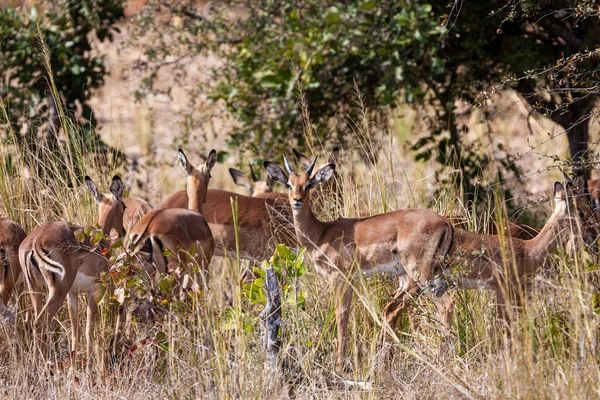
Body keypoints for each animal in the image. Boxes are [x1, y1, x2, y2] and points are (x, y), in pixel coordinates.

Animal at [19, 175, 125, 360]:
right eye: (124, 207)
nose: (124, 231)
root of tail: (36, 241)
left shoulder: (73, 293)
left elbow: (76, 330)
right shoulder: (95, 289)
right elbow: (89, 329)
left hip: (35, 287)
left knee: (35, 321)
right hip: (57, 290)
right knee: (40, 322)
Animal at [264, 156, 454, 372]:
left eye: (309, 184)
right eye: (289, 184)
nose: (297, 200)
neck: (320, 234)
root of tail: (445, 222)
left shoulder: (340, 276)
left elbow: (341, 314)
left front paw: (340, 364)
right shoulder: (351, 279)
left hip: (420, 275)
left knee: (445, 304)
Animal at [382, 175, 596, 334]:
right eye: (582, 212)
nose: (593, 233)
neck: (528, 249)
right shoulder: (504, 291)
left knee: (391, 309)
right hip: (417, 283)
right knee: (394, 310)